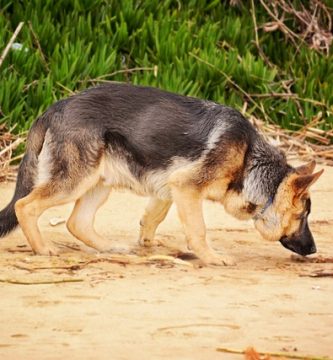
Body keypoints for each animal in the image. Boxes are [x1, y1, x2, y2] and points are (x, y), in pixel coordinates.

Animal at [0, 83, 322, 264]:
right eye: (302, 216)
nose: (314, 249)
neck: (249, 160)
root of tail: (54, 108)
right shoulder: (187, 188)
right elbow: (198, 230)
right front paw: (211, 257)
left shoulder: (171, 187)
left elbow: (154, 217)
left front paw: (148, 243)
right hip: (74, 182)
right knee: (24, 206)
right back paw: (43, 249)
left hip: (99, 183)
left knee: (77, 222)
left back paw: (112, 247)